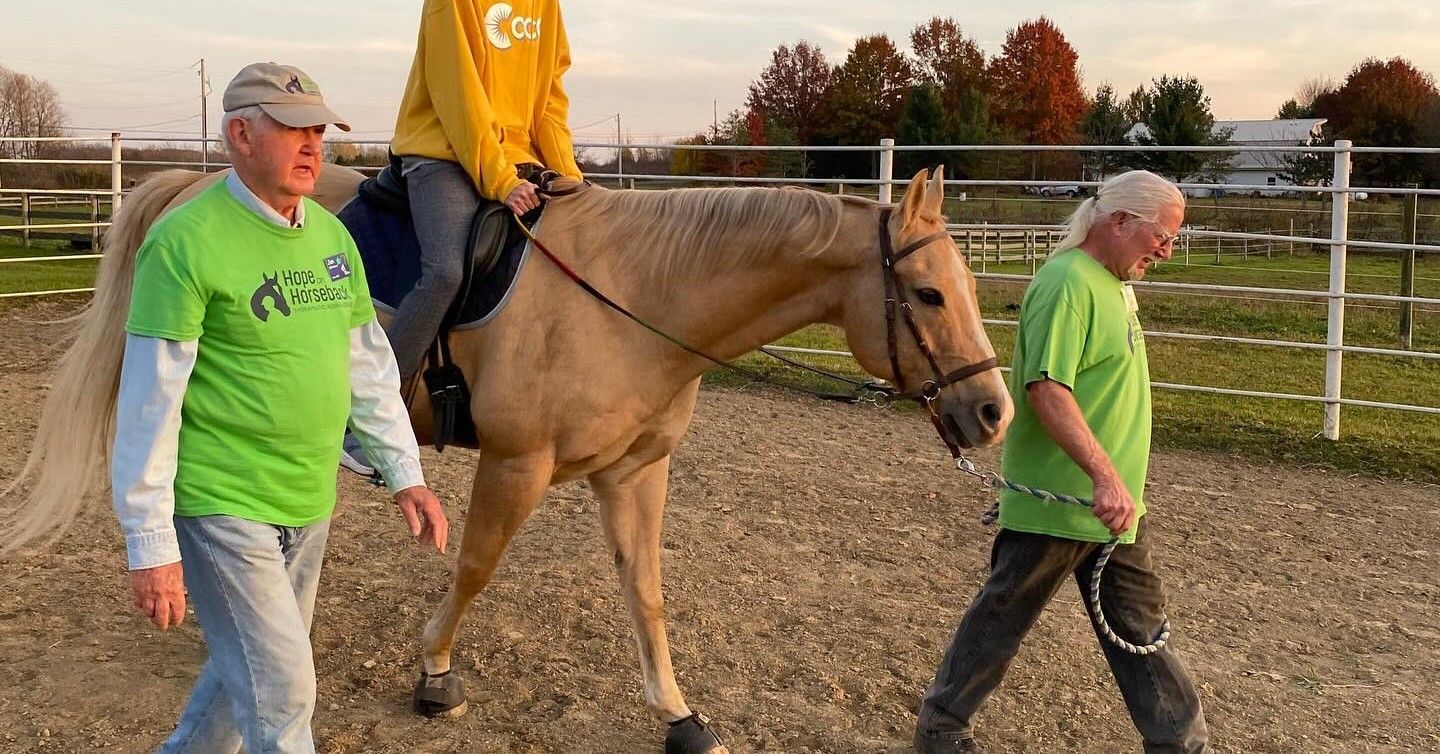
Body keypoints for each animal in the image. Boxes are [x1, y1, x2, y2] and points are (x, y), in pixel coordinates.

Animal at [4, 162, 1012, 753]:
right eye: (928, 293)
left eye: (967, 287)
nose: (993, 411)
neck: (634, 293)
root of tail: (190, 184)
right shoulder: (517, 464)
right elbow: (476, 567)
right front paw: (432, 676)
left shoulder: (637, 472)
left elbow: (645, 590)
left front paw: (679, 714)